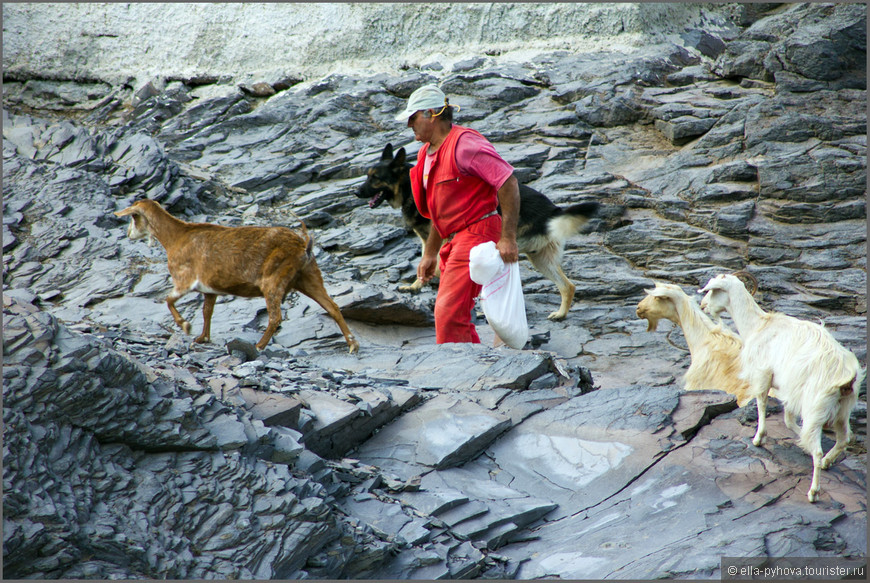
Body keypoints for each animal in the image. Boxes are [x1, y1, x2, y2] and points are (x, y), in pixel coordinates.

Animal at [116, 198, 362, 354]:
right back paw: (352, 344)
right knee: (332, 306)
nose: (128, 234)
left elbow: (168, 300)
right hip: (308, 276)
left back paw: (259, 346)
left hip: (273, 279)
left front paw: (186, 326)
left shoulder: (185, 280)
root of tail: (303, 245)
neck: (176, 238)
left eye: (133, 217)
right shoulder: (209, 290)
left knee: (276, 317)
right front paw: (202, 337)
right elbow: (207, 311)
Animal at [356, 144, 600, 322]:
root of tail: (552, 209)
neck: (408, 188)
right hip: (538, 257)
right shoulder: (428, 240)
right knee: (568, 286)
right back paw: (560, 314)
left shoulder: (442, 238)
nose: (356, 192)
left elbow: (437, 267)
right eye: (367, 175)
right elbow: (425, 264)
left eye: (375, 177)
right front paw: (417, 286)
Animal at [700, 274, 864, 502]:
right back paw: (827, 461)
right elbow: (788, 420)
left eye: (711, 290)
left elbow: (761, 404)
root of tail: (846, 377)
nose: (702, 305)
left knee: (818, 449)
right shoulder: (789, 391)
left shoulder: (762, 374)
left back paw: (814, 491)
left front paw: (758, 438)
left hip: (815, 407)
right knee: (843, 438)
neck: (759, 325)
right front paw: (798, 439)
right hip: (842, 409)